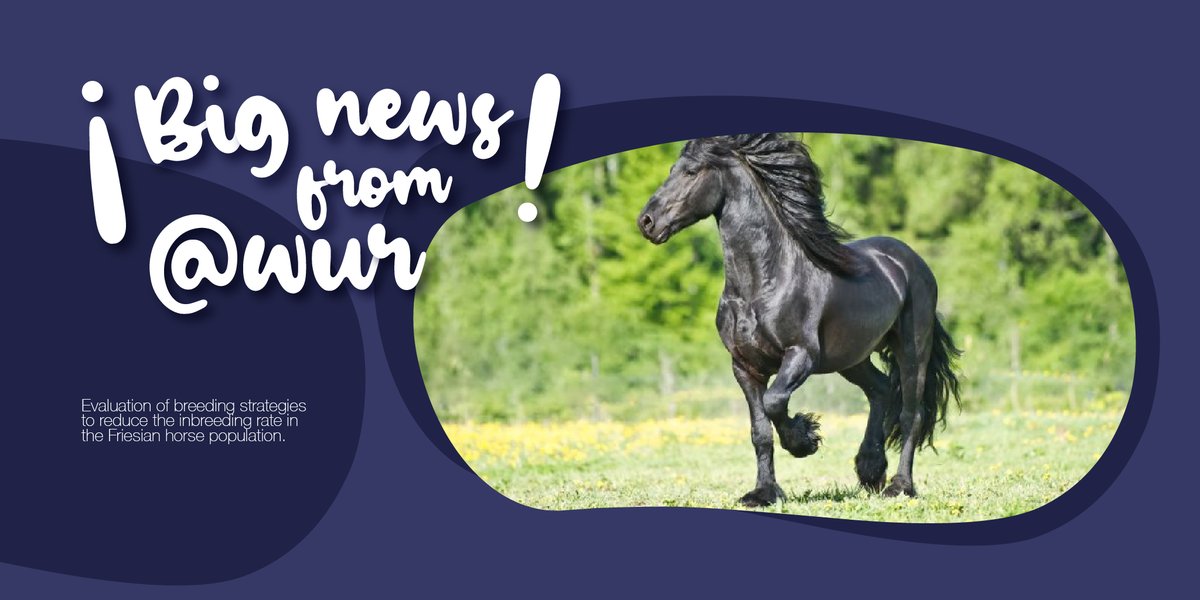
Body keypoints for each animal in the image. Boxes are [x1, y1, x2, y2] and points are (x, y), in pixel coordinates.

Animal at [637, 134, 961, 507]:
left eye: (690, 172)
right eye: (671, 169)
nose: (646, 221)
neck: (764, 282)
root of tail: (911, 261)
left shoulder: (801, 355)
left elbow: (775, 402)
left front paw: (804, 440)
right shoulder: (745, 367)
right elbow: (760, 431)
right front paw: (763, 493)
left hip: (912, 349)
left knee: (911, 413)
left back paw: (899, 486)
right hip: (852, 357)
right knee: (880, 390)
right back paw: (869, 469)